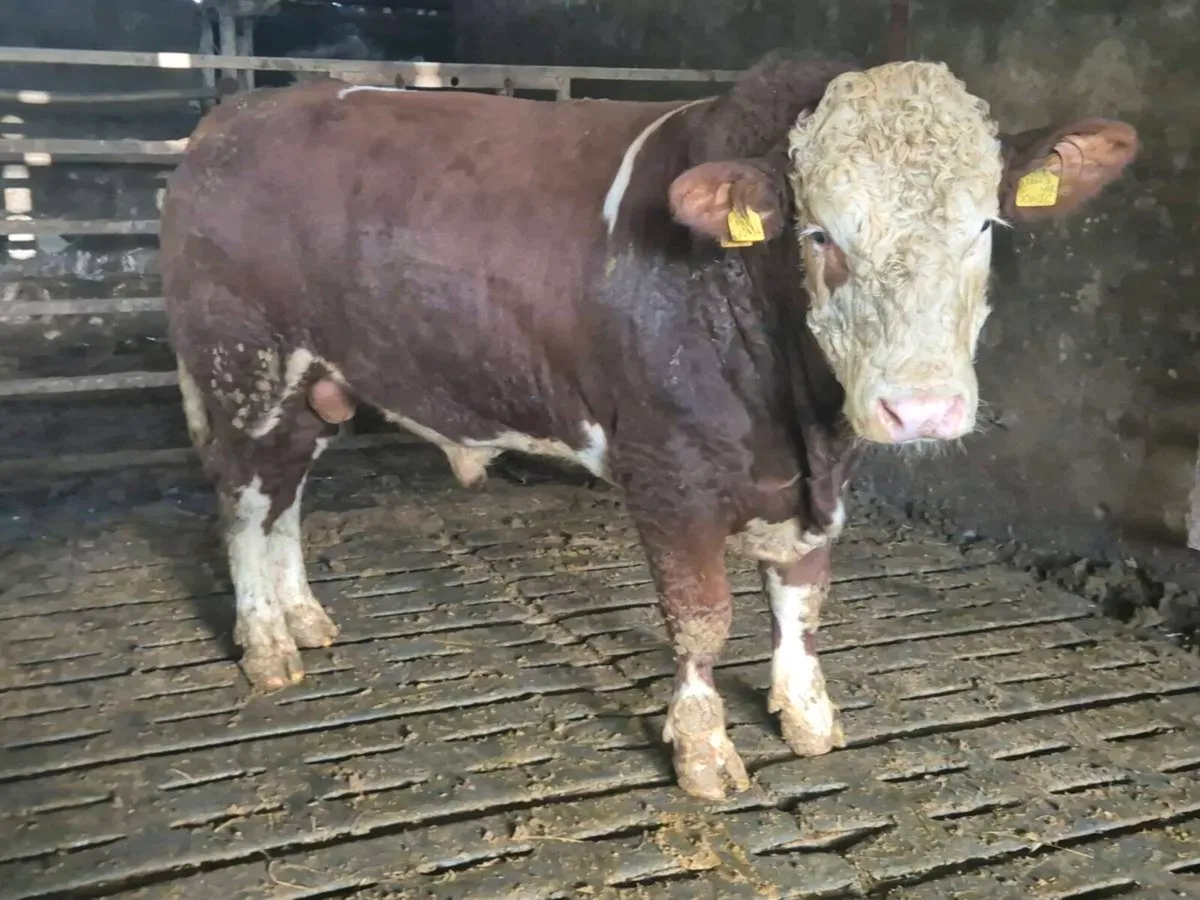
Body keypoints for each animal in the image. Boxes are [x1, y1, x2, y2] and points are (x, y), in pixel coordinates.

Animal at [161, 51, 1137, 799]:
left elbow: (802, 599)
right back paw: (265, 645)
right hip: (240, 365)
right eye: (819, 234)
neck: (801, 427)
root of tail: (236, 117)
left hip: (316, 384)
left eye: (985, 225)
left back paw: (304, 617)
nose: (923, 407)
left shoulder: (823, 484)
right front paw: (703, 754)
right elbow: (701, 620)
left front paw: (807, 716)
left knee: (286, 491)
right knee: (243, 500)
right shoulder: (667, 472)